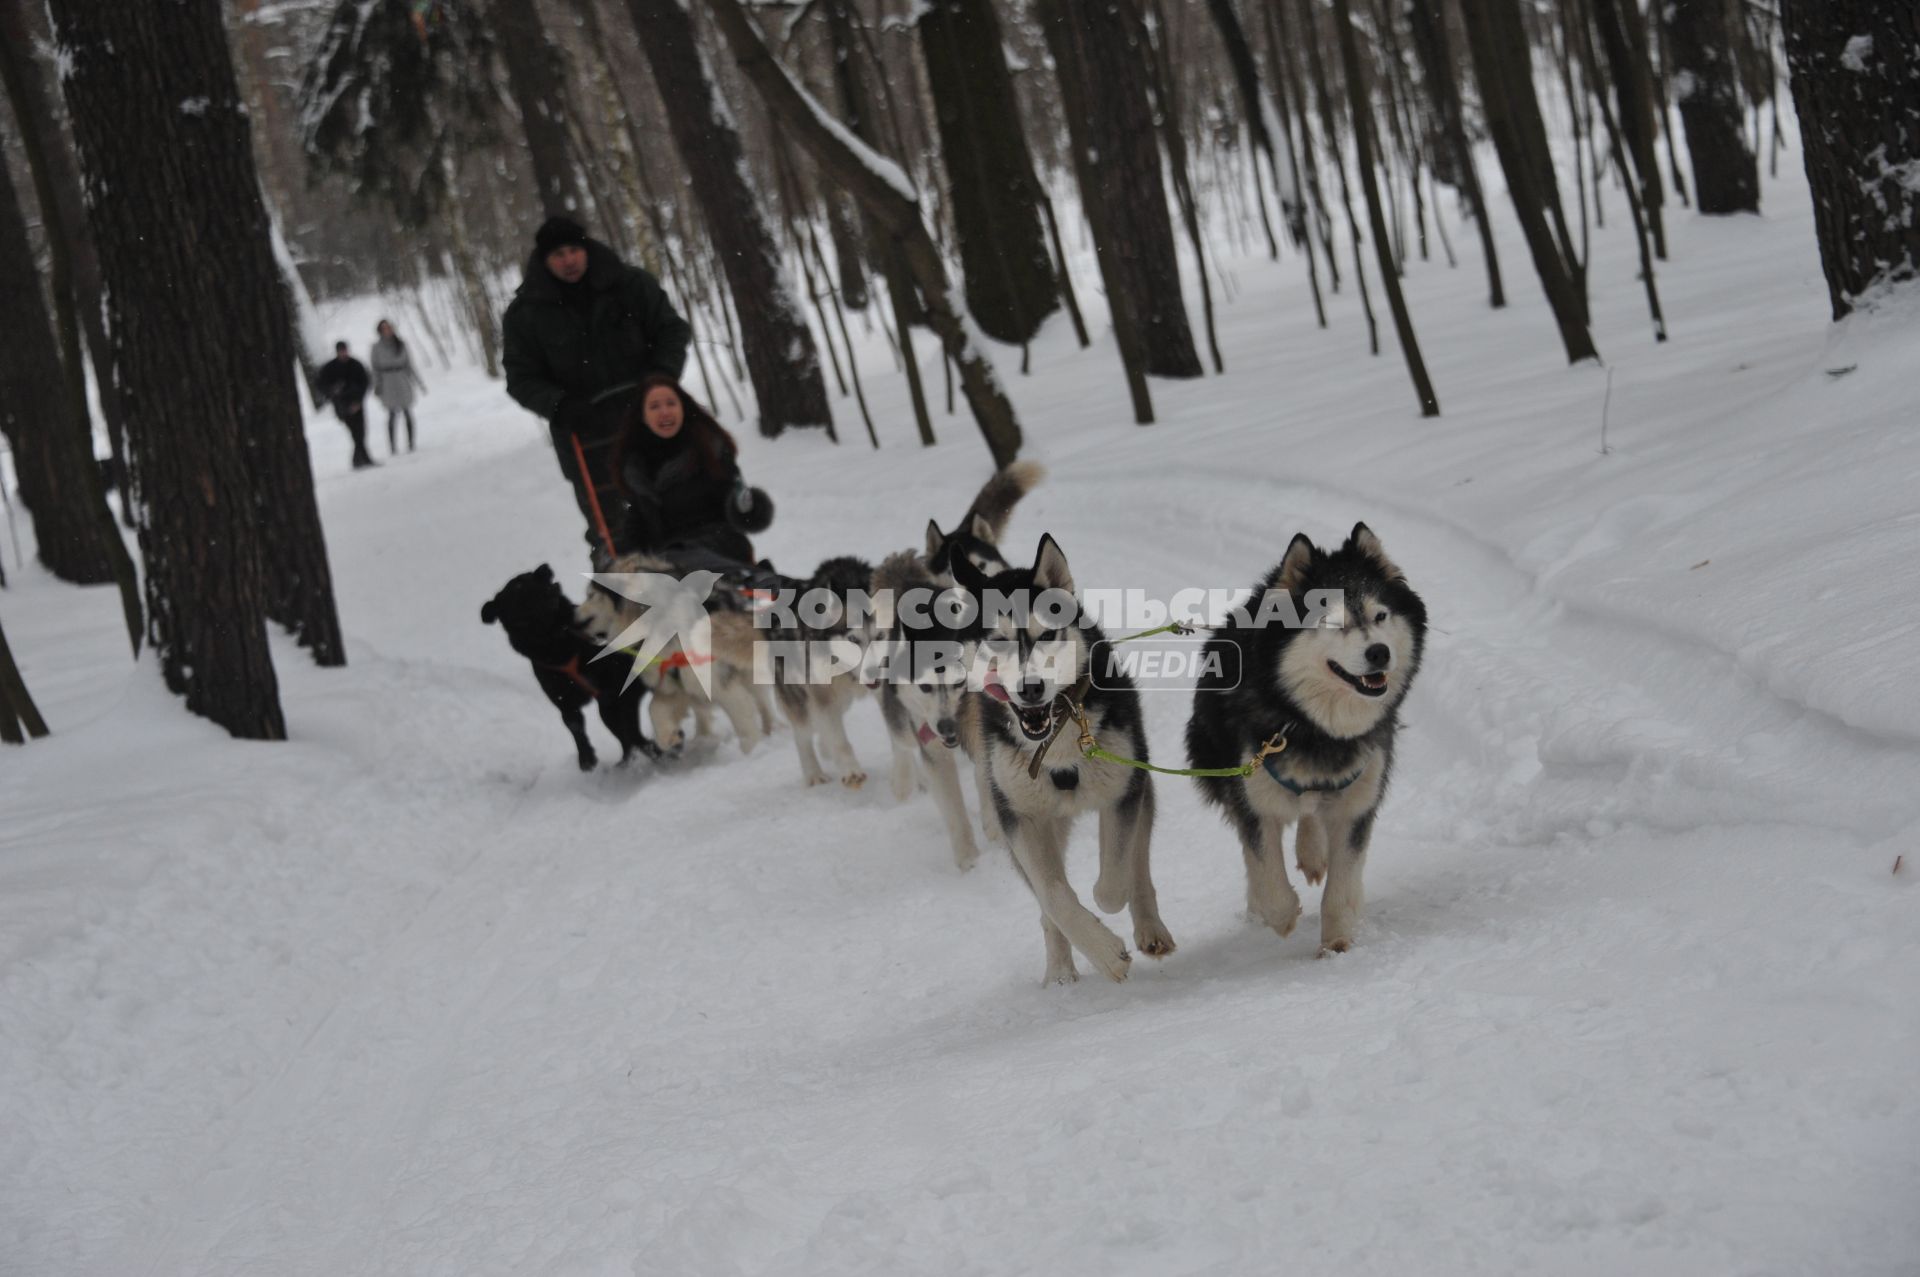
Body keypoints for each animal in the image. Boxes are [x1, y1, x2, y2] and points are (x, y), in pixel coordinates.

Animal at [572, 553, 768, 752]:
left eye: (590, 595)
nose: (572, 616)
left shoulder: (719, 683)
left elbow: (744, 724)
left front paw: (752, 751)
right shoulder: (671, 684)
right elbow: (654, 709)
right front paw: (669, 737)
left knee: (764, 705)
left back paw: (771, 732)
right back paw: (702, 738)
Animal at [948, 533, 1167, 979]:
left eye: (1046, 636)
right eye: (997, 640)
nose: (1030, 688)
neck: (1056, 742)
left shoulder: (1122, 792)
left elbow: (1113, 883)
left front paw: (1105, 909)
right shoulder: (1020, 818)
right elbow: (1053, 895)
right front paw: (1102, 951)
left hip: (1138, 781)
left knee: (1138, 862)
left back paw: (1149, 925)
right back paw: (1062, 975)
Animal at [1182, 522, 1428, 952]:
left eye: (1381, 615)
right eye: (1332, 623)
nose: (1379, 652)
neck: (1316, 727)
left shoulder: (1359, 797)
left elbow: (1343, 882)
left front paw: (1337, 944)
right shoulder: (1253, 796)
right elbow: (1266, 872)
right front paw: (1280, 918)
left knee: (1312, 811)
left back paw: (1312, 853)